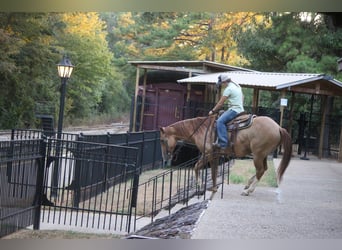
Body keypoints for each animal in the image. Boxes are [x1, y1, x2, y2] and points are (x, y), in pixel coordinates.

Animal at [160, 114, 292, 196]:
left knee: (260, 170)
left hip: (258, 155)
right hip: (262, 155)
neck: (202, 130)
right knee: (264, 169)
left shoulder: (209, 154)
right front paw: (206, 186)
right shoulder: (212, 155)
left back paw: (248, 191)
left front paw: (205, 186)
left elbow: (205, 169)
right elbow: (206, 169)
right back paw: (248, 185)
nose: (165, 158)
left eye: (162, 140)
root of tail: (278, 127)